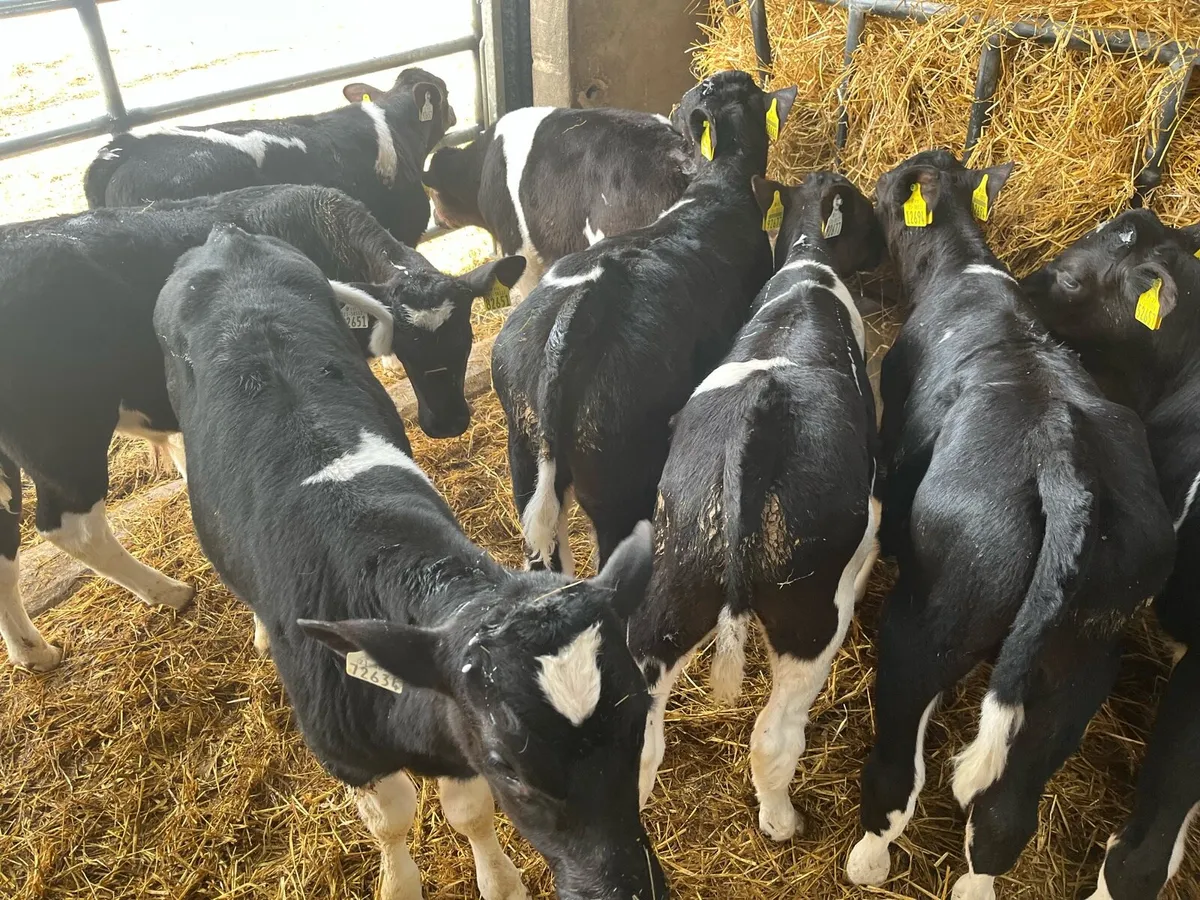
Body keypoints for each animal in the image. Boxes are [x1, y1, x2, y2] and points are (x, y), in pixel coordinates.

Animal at [0, 184, 522, 672]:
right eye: (407, 346)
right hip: (64, 439)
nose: (448, 422)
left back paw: (33, 651)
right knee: (73, 529)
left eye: (465, 336)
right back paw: (167, 592)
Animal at [154, 224, 668, 900]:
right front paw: (399, 882)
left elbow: (469, 812)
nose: (628, 887)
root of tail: (229, 237)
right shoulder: (346, 752)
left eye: (638, 718)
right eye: (508, 763)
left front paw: (498, 881)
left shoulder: (451, 729)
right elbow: (391, 820)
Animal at [629, 170, 885, 842]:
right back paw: (781, 820)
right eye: (867, 210)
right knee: (773, 736)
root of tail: (756, 421)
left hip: (674, 581)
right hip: (808, 617)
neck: (807, 263)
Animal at [845, 150, 1175, 900]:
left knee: (899, 761)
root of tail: (1063, 455)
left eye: (886, 188)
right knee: (1006, 812)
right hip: (1081, 659)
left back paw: (867, 859)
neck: (964, 266)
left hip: (938, 613)